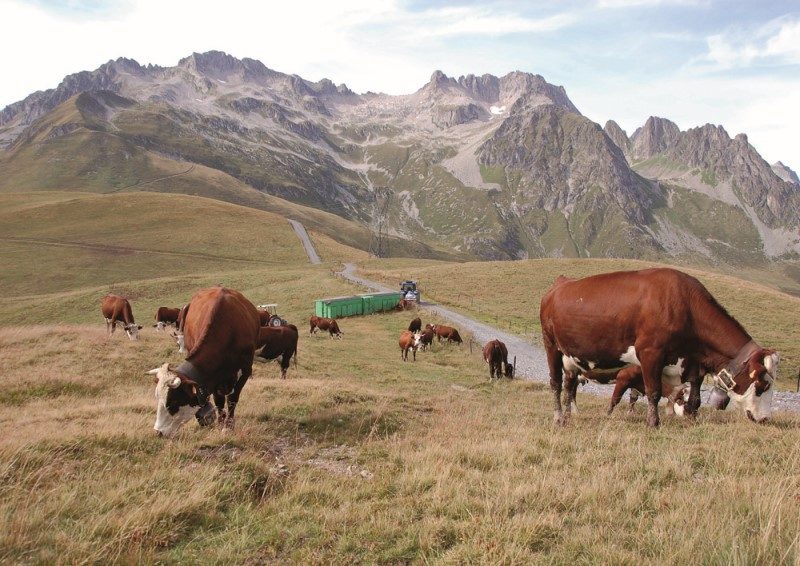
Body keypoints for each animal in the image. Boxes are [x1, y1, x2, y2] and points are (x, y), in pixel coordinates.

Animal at [143, 288, 256, 440]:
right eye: (157, 398)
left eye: (173, 402)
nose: (158, 432)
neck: (229, 329)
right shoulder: (214, 379)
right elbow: (219, 400)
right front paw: (221, 424)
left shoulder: (245, 371)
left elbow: (232, 399)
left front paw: (228, 426)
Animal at [536, 270, 780, 426]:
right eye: (763, 386)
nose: (765, 419)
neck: (686, 306)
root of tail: (562, 283)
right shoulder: (651, 353)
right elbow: (653, 391)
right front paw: (653, 422)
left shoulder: (693, 361)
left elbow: (695, 396)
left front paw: (692, 418)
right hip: (551, 345)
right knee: (556, 383)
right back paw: (558, 418)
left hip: (571, 358)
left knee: (569, 386)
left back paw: (569, 416)